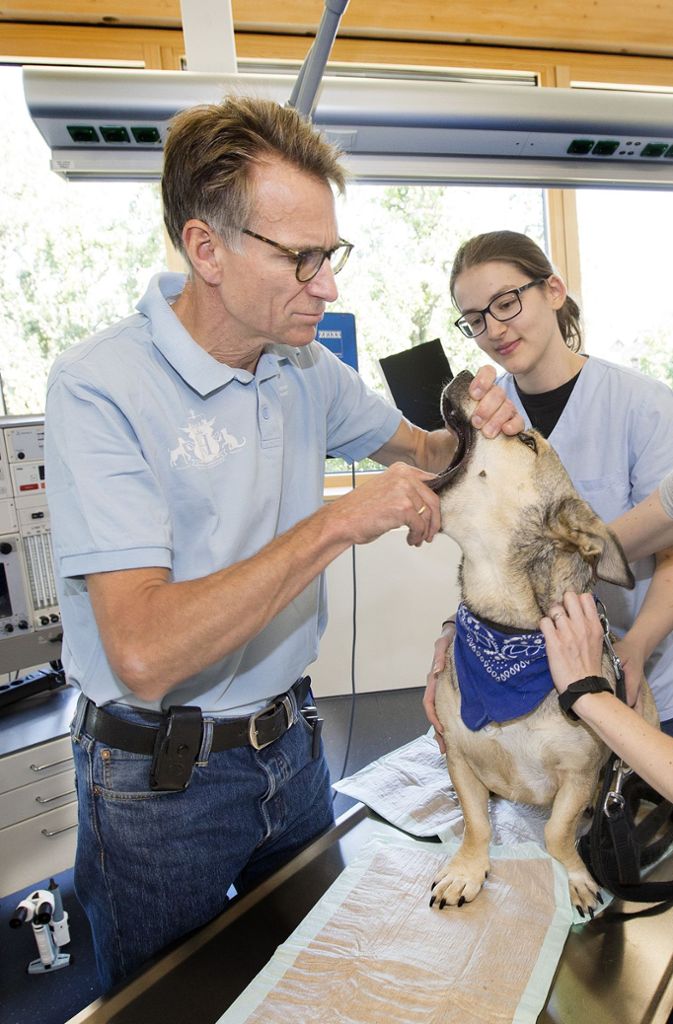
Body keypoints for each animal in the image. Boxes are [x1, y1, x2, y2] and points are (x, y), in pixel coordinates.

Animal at [430, 372, 655, 917]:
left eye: (527, 441)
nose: (466, 374)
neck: (506, 636)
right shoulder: (458, 756)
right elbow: (477, 823)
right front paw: (468, 868)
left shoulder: (579, 772)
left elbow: (556, 831)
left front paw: (576, 878)